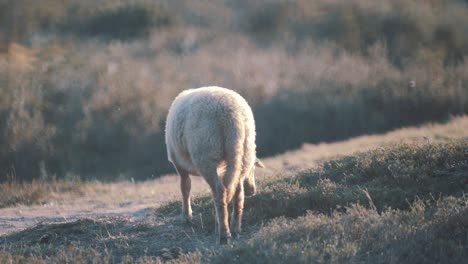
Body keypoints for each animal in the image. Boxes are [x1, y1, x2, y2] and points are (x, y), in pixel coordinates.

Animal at [166, 86, 266, 243]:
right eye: (253, 170)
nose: (253, 191)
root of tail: (233, 116)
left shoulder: (178, 164)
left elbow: (185, 188)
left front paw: (187, 217)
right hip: (244, 151)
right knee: (237, 193)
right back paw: (235, 228)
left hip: (207, 153)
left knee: (219, 192)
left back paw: (224, 233)